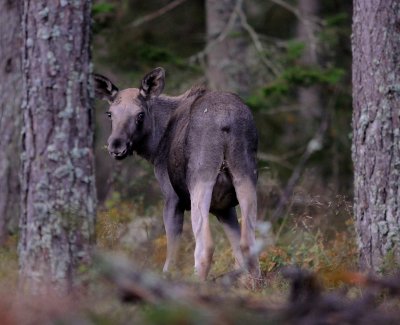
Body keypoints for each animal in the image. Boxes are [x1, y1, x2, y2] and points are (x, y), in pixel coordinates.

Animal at [95, 67, 260, 278]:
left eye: (140, 114)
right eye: (110, 114)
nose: (116, 146)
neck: (154, 147)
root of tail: (226, 120)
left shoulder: (172, 197)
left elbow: (171, 253)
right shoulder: (224, 207)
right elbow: (237, 251)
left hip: (200, 178)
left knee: (205, 246)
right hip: (245, 174)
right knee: (249, 243)